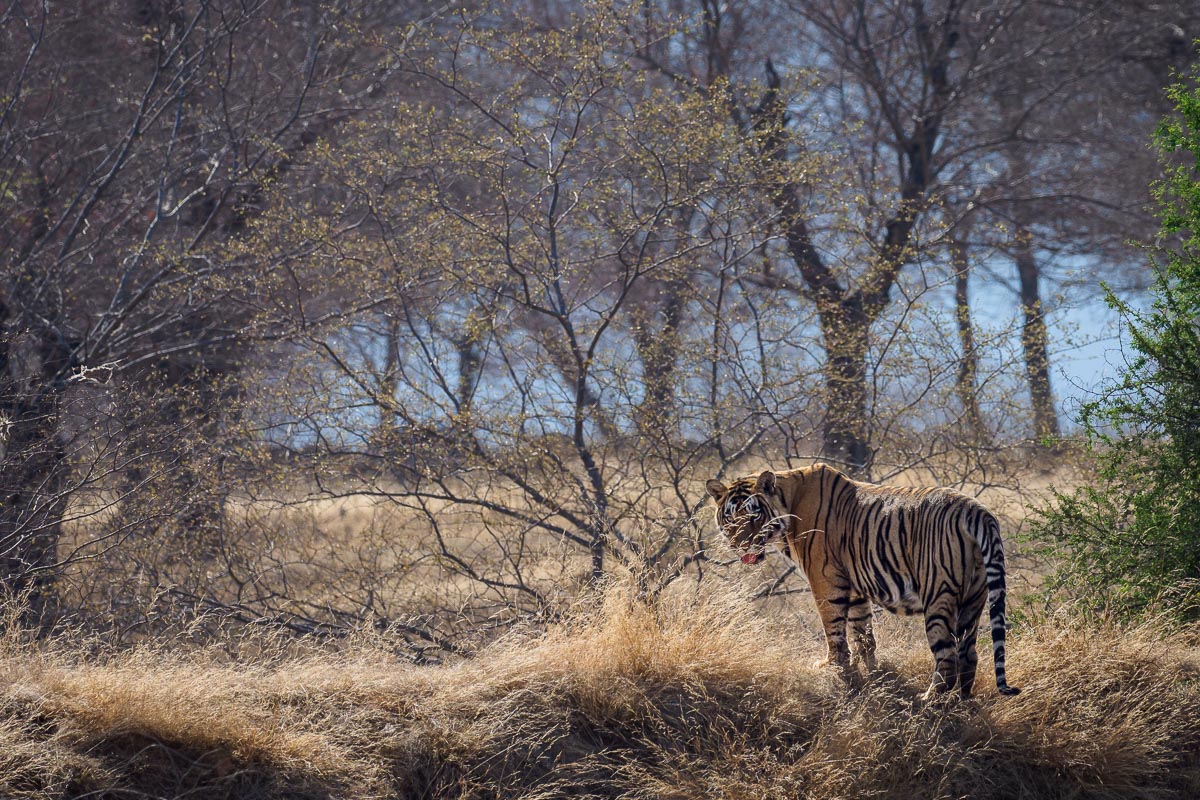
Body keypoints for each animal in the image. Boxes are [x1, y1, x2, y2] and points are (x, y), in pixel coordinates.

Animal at [705, 462, 1019, 698]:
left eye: (754, 516)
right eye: (730, 518)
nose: (740, 545)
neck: (788, 505)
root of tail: (978, 512)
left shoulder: (825, 580)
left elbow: (833, 629)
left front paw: (833, 667)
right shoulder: (855, 586)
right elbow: (863, 633)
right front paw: (870, 671)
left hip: (938, 596)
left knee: (948, 657)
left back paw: (930, 701)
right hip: (974, 597)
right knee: (969, 655)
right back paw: (961, 701)